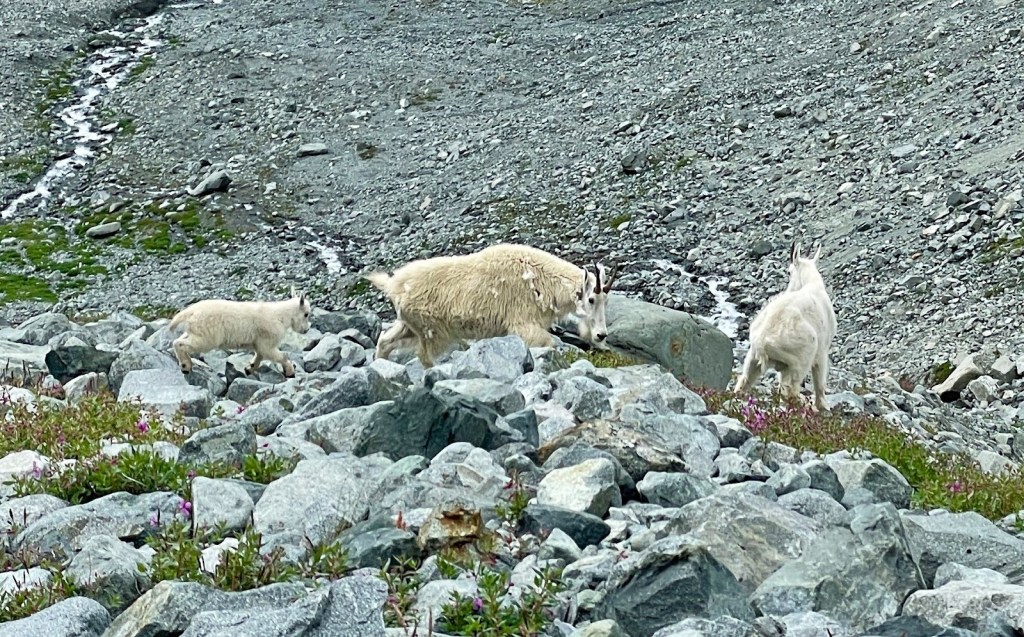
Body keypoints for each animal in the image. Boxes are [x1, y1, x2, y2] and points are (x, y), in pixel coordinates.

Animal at [169, 287, 312, 378]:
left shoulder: (258, 341)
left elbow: (260, 354)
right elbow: (276, 354)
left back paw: (186, 364)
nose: (306, 330)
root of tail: (190, 312)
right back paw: (185, 366)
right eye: (306, 314)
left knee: (180, 339)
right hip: (208, 334)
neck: (281, 316)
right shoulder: (268, 335)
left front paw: (249, 368)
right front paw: (290, 371)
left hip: (195, 330)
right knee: (184, 343)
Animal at [364, 243, 617, 367]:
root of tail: (393, 285)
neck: (541, 278)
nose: (601, 335)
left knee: (385, 340)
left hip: (409, 325)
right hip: (432, 330)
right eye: (591, 299)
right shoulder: (523, 323)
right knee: (424, 356)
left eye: (606, 300)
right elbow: (549, 343)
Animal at [734, 242, 837, 411]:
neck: (813, 285)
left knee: (746, 379)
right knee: (791, 390)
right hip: (802, 356)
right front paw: (823, 406)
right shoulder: (822, 351)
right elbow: (820, 381)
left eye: (789, 272)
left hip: (754, 356)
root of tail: (763, 342)